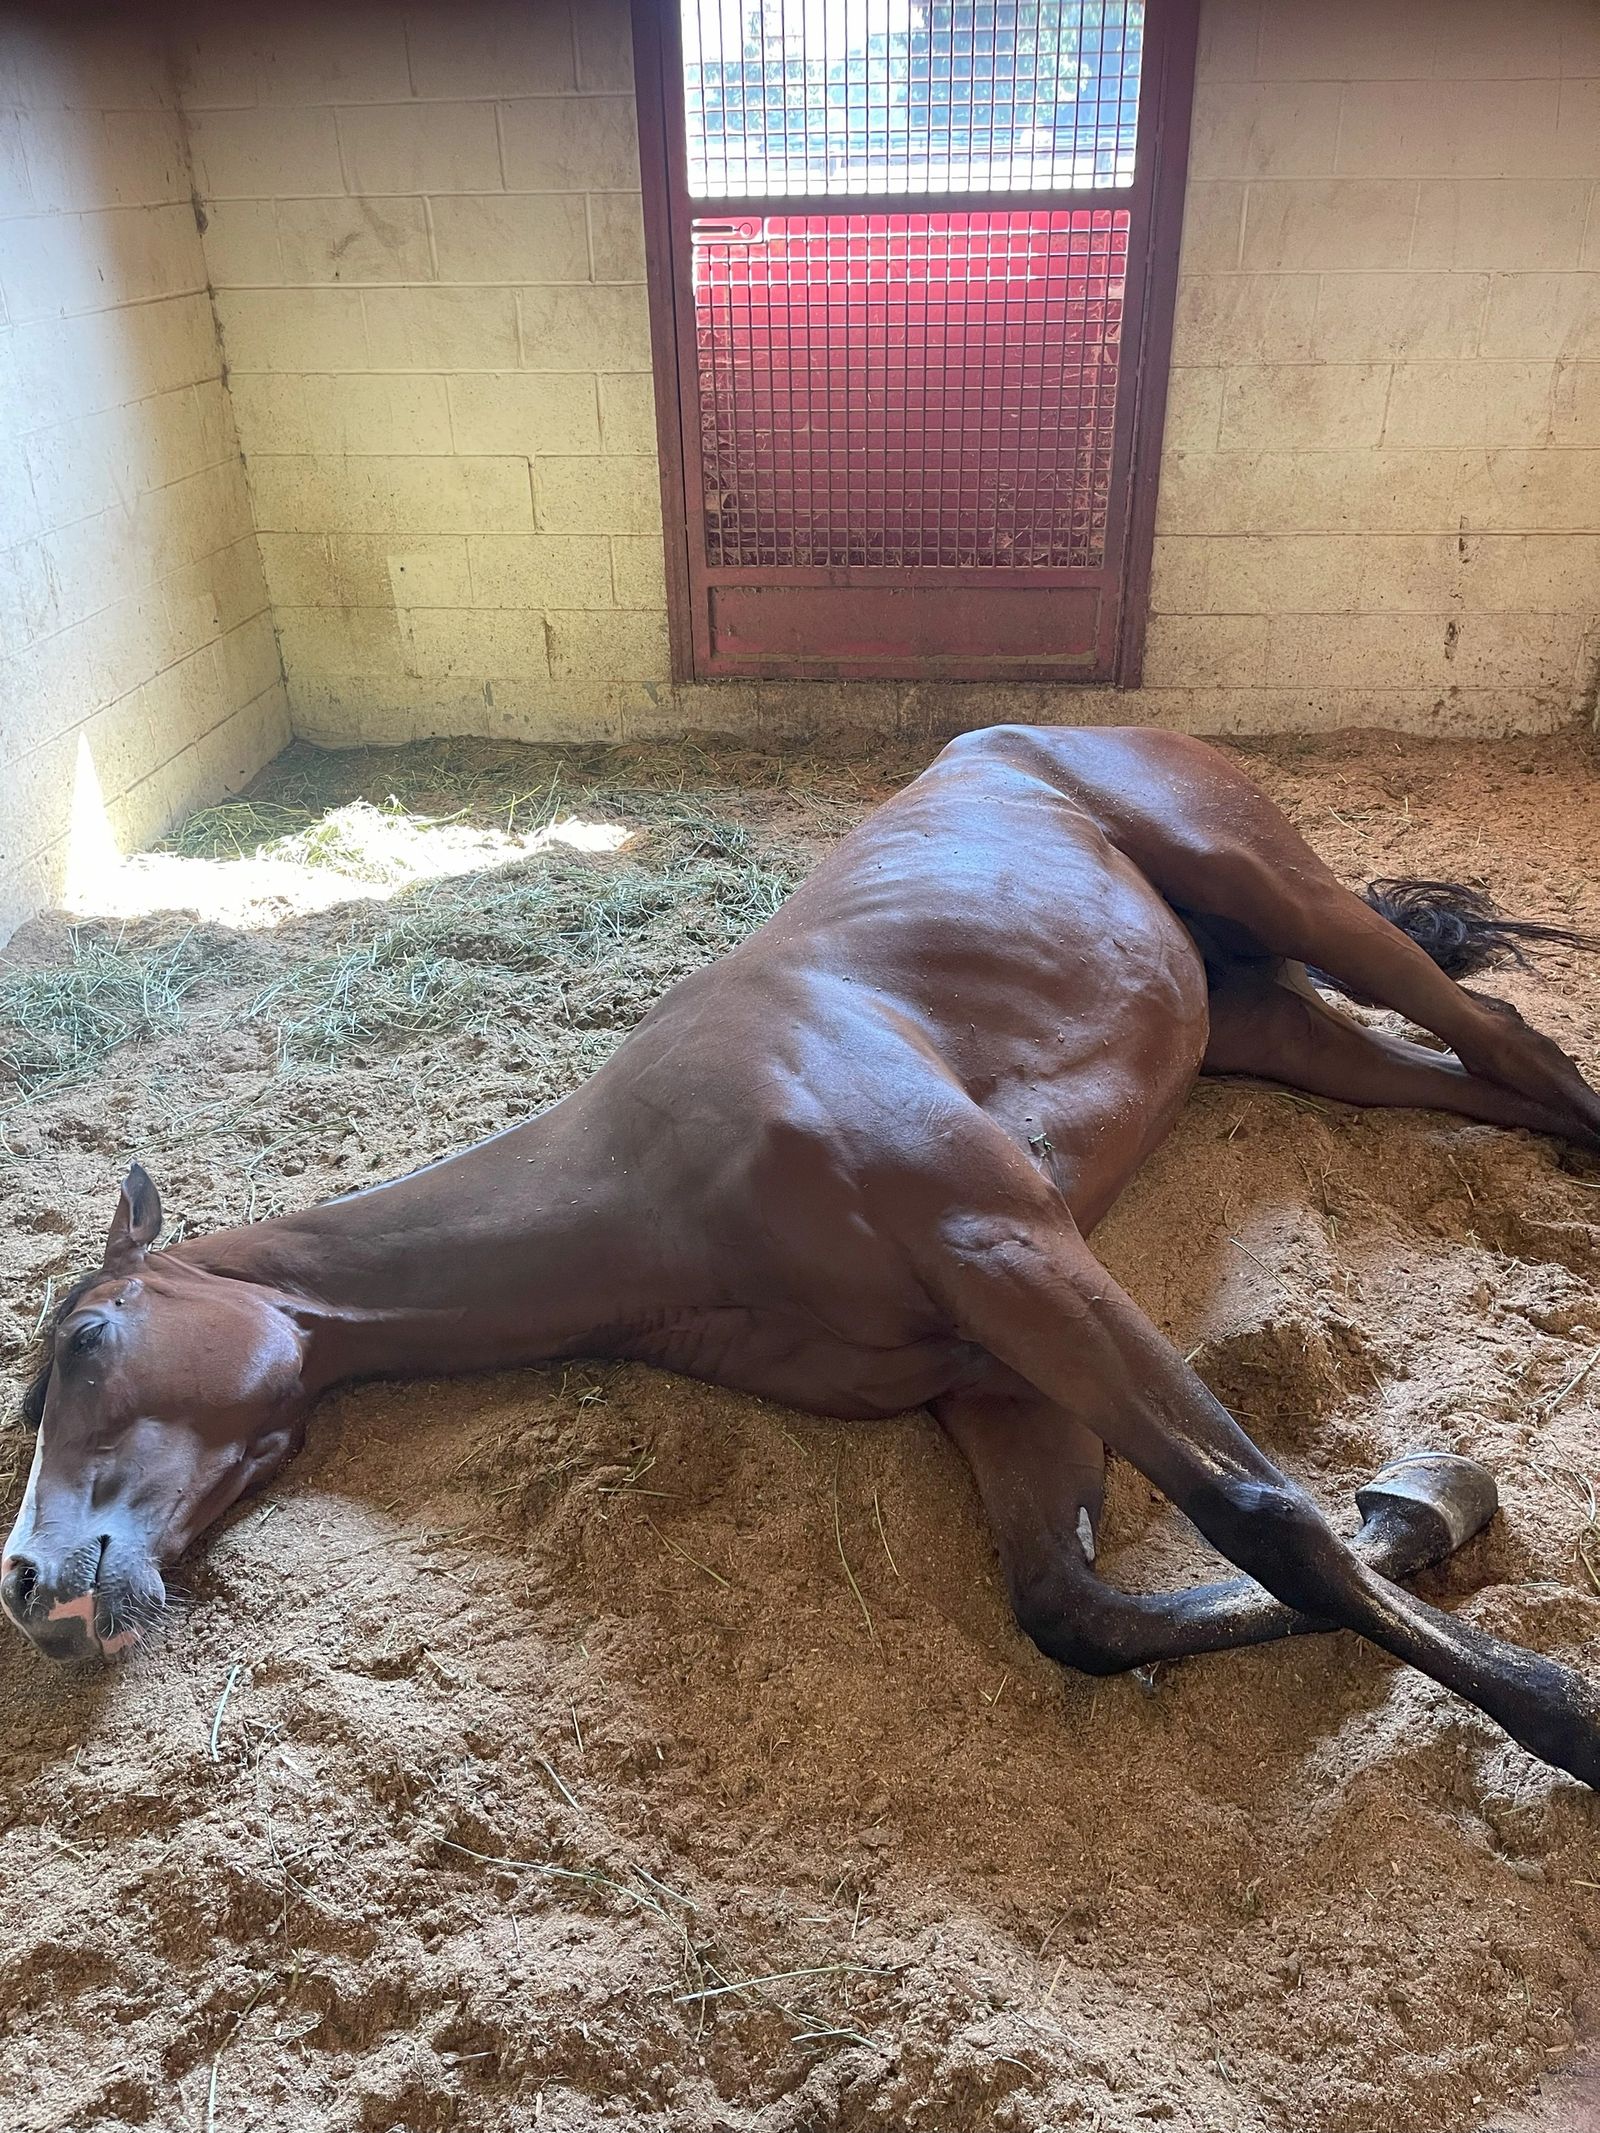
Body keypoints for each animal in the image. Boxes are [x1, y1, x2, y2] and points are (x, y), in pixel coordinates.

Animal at [5, 724, 1598, 1786]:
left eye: (84, 1344)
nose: (27, 1586)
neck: (666, 1182)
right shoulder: (988, 1373)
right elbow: (1080, 1613)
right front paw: (1429, 1507)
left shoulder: (1011, 1248)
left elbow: (1266, 1518)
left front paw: (1562, 1712)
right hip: (1278, 1029)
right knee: (1511, 1073)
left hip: (1281, 893)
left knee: (1512, 1042)